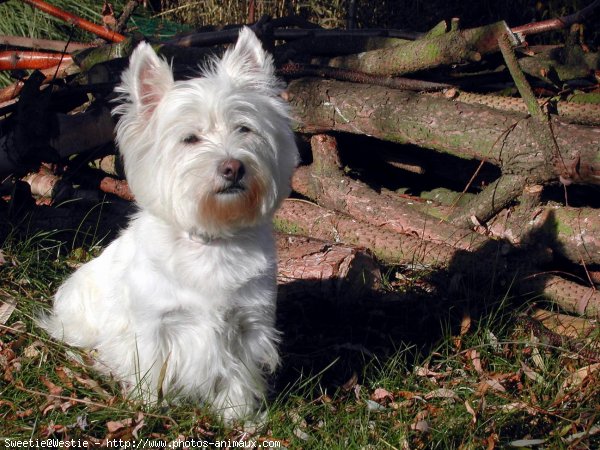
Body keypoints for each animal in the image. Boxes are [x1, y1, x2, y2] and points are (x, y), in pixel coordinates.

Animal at [39, 28, 298, 422]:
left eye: (244, 129)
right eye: (190, 138)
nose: (233, 167)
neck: (211, 241)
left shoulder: (248, 323)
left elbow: (238, 372)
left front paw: (237, 416)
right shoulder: (154, 325)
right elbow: (149, 365)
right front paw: (148, 407)